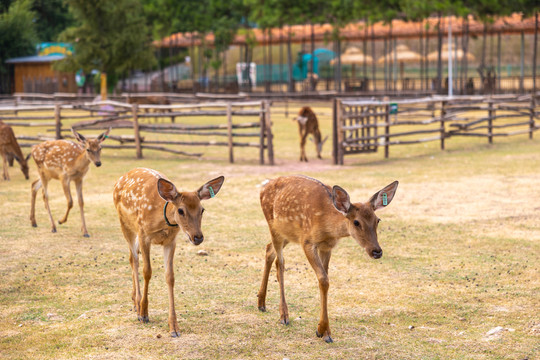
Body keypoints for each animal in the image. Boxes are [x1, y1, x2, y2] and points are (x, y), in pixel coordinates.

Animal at [113, 169, 225, 338]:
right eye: (180, 210)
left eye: (202, 210)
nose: (198, 237)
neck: (161, 219)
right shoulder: (144, 234)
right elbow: (147, 272)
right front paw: (144, 313)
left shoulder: (171, 241)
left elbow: (170, 277)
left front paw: (174, 327)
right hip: (125, 224)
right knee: (134, 259)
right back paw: (138, 305)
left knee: (132, 257)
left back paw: (134, 301)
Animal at [258, 176, 396, 344]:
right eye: (356, 222)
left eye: (378, 220)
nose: (376, 251)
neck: (328, 226)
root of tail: (263, 187)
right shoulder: (307, 241)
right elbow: (323, 279)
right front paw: (323, 330)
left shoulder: (327, 246)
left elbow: (325, 279)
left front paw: (323, 332)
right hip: (273, 226)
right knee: (280, 264)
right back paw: (284, 315)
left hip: (287, 234)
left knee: (268, 250)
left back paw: (261, 303)